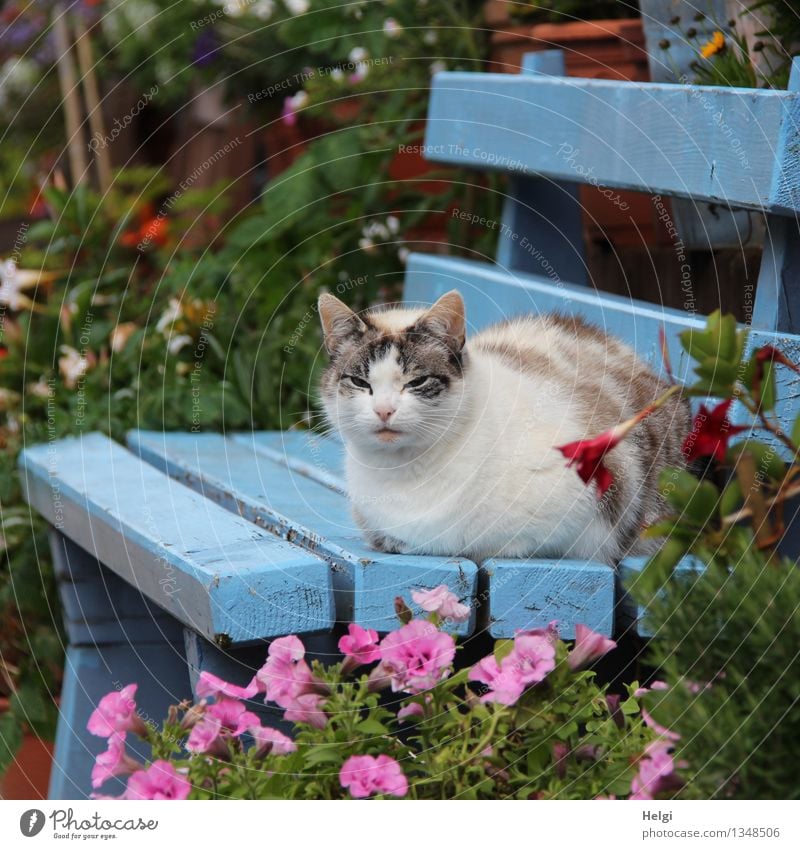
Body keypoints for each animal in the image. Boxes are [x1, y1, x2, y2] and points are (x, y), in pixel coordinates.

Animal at [316, 290, 692, 564]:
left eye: (417, 382)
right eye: (360, 382)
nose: (383, 410)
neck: (402, 472)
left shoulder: (585, 514)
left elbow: (489, 543)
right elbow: (384, 535)